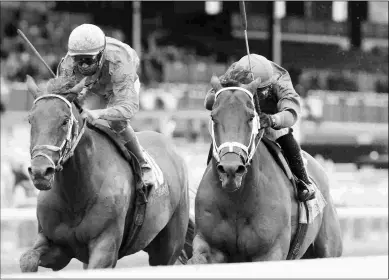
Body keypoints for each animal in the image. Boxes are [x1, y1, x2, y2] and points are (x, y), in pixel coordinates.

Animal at [19, 76, 192, 272]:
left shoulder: (105, 246)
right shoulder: (56, 245)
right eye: (31, 120)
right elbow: (28, 259)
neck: (76, 195)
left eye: (64, 120)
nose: (40, 172)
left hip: (167, 247)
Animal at [186, 75, 342, 264]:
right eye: (213, 116)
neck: (237, 200)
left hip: (328, 248)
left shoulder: (270, 252)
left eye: (251, 116)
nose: (231, 169)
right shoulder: (208, 245)